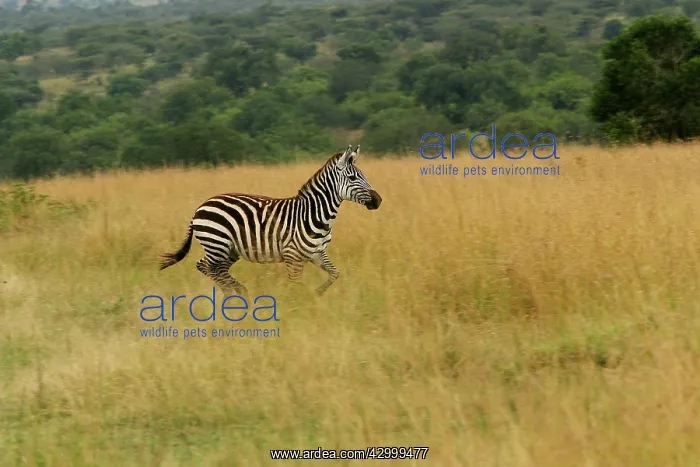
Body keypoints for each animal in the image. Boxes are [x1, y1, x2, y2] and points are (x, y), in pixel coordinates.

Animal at [159, 145, 382, 297]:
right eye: (353, 178)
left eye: (363, 176)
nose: (378, 200)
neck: (315, 214)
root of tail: (200, 207)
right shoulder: (293, 256)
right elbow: (295, 284)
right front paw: (297, 306)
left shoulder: (317, 253)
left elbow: (335, 273)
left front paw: (316, 294)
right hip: (217, 243)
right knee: (214, 269)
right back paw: (239, 292)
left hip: (228, 249)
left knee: (207, 267)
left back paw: (233, 294)